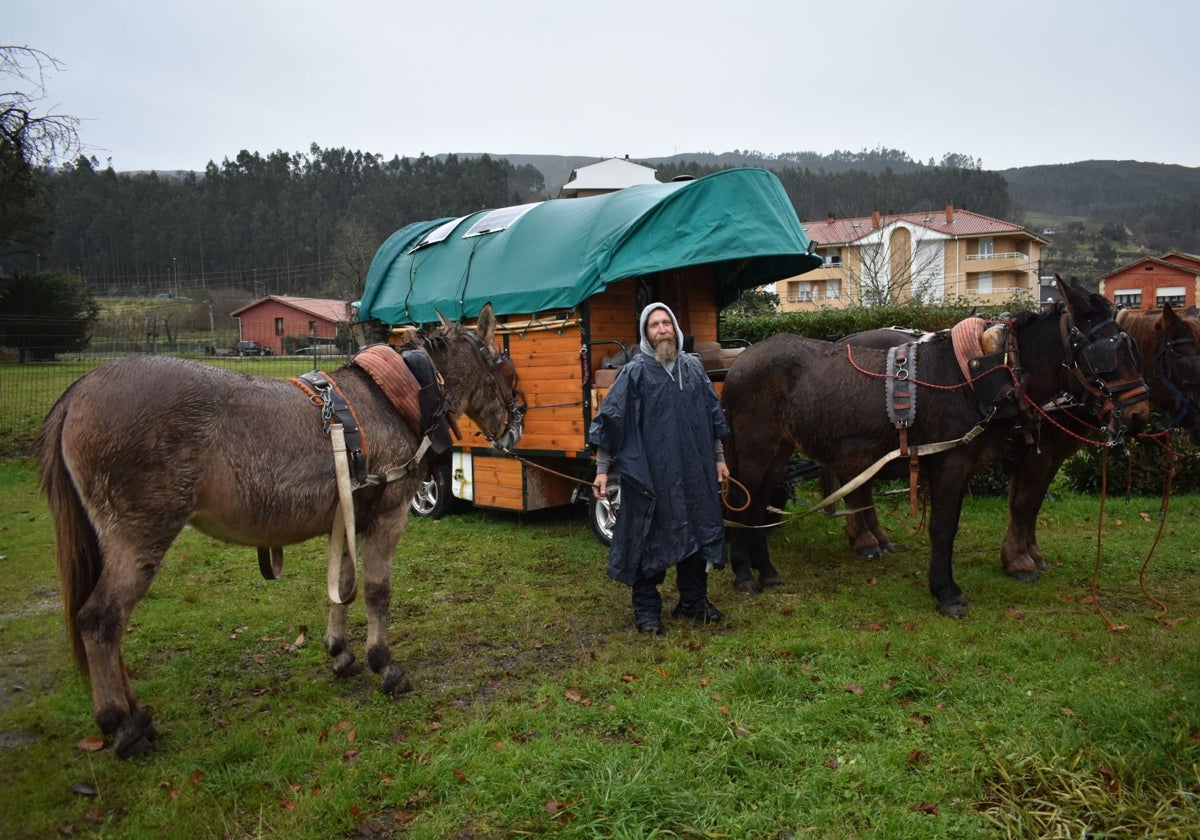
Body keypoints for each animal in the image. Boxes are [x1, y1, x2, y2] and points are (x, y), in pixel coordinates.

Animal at [37, 304, 523, 758]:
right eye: (507, 368)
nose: (516, 426)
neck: (391, 399)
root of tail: (79, 391)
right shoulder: (388, 515)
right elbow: (376, 591)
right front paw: (384, 665)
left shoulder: (347, 515)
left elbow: (342, 586)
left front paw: (339, 652)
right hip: (139, 538)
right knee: (101, 620)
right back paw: (123, 724)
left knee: (113, 626)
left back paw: (138, 716)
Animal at [720, 277, 1152, 619]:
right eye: (1107, 351)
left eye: (1134, 348)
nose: (1139, 416)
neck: (983, 372)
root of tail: (740, 362)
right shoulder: (951, 465)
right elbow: (946, 529)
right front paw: (947, 592)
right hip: (754, 449)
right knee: (738, 506)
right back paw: (743, 574)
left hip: (777, 452)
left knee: (757, 509)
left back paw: (767, 572)